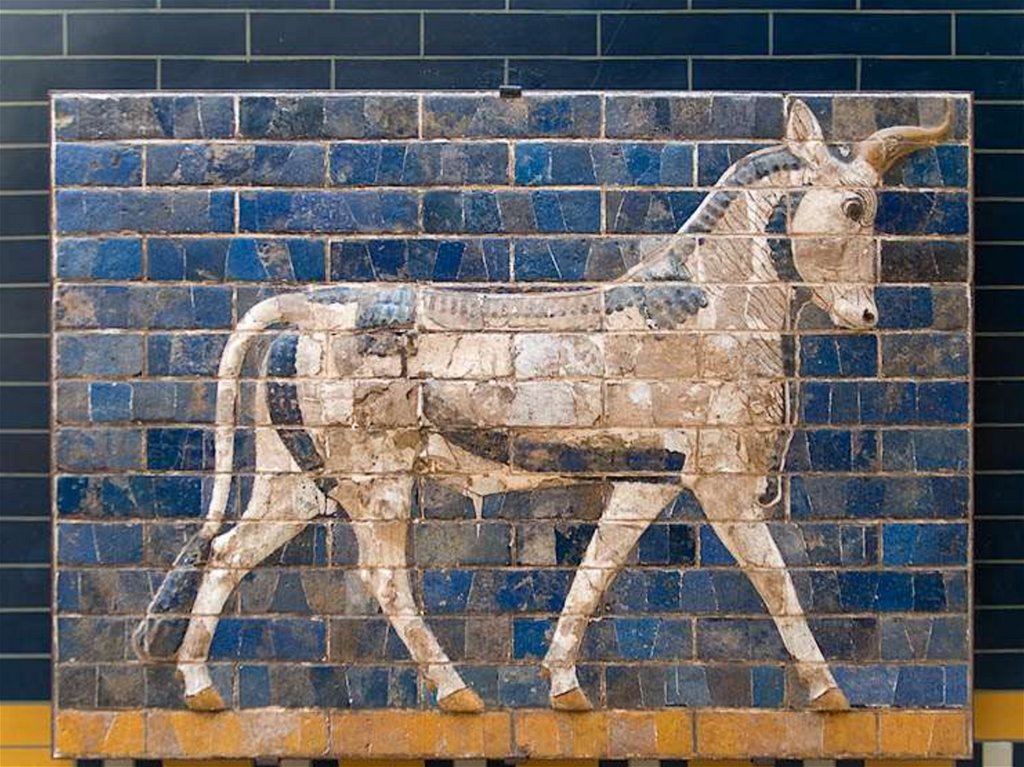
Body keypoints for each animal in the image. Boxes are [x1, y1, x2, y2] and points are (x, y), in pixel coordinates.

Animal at [133, 98, 953, 714]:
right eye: (854, 205)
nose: (867, 318)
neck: (711, 302)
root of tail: (303, 307)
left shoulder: (645, 482)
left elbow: (593, 574)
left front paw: (564, 685)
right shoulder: (720, 482)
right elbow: (776, 579)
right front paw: (829, 690)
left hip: (296, 479)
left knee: (229, 552)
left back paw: (202, 687)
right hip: (377, 478)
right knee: (385, 578)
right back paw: (457, 692)